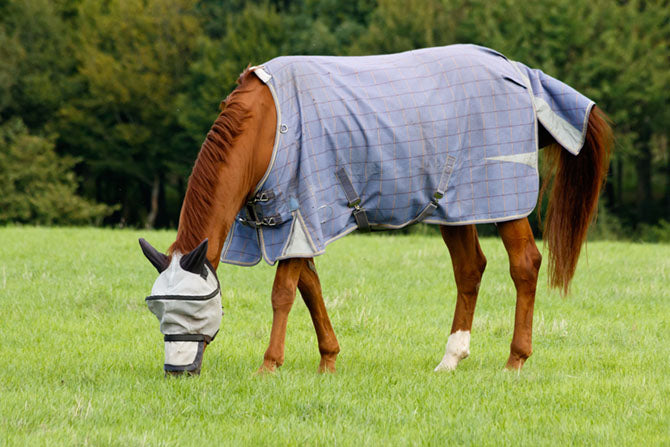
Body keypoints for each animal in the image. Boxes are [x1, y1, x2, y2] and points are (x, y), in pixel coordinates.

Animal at [139, 44, 613, 376]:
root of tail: (519, 71)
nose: (177, 372)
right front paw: (328, 359)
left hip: (502, 199)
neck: (267, 126)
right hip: (453, 206)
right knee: (470, 269)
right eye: (158, 310)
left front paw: (269, 365)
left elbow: (283, 293)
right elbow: (310, 287)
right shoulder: (296, 224)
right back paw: (451, 358)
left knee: (525, 264)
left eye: (194, 308)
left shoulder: (298, 215)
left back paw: (516, 359)